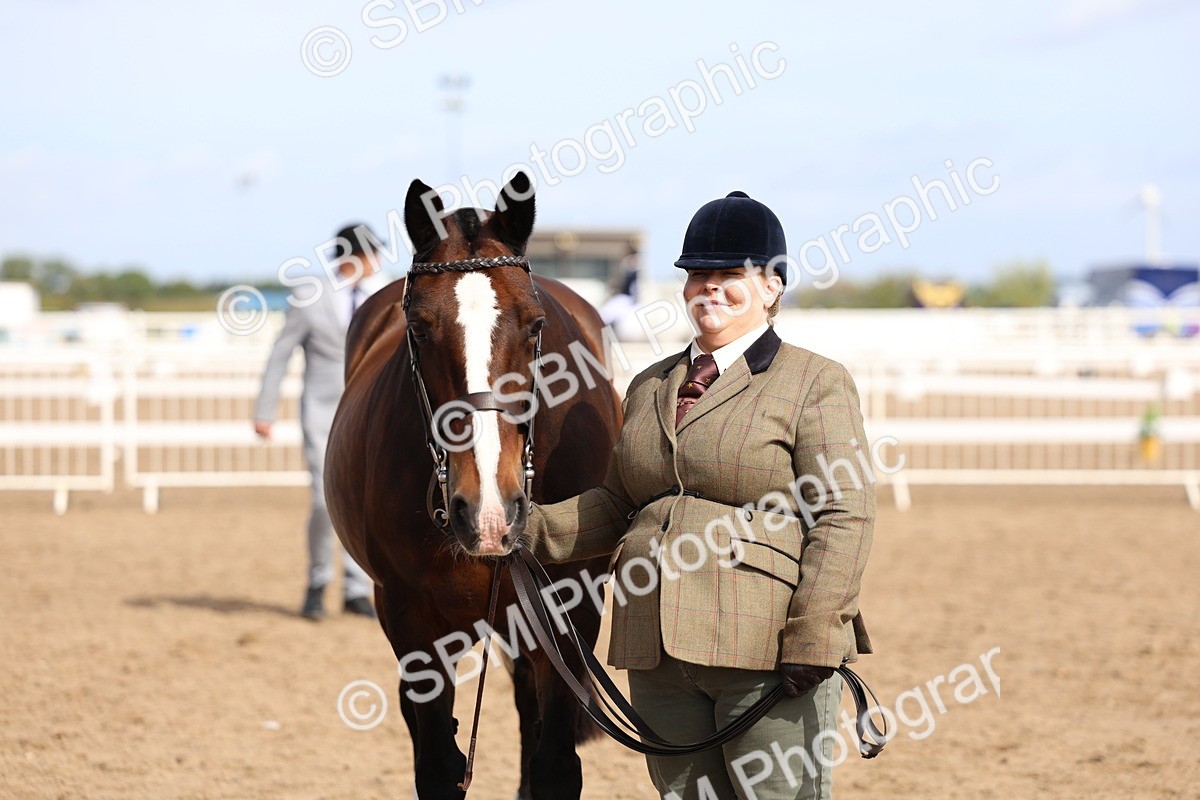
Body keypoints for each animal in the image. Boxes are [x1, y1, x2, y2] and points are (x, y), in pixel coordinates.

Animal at [325, 172, 622, 800]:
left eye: (536, 326)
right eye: (417, 328)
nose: (488, 513)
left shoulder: (572, 608)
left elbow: (554, 765)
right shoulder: (410, 618)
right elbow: (438, 764)